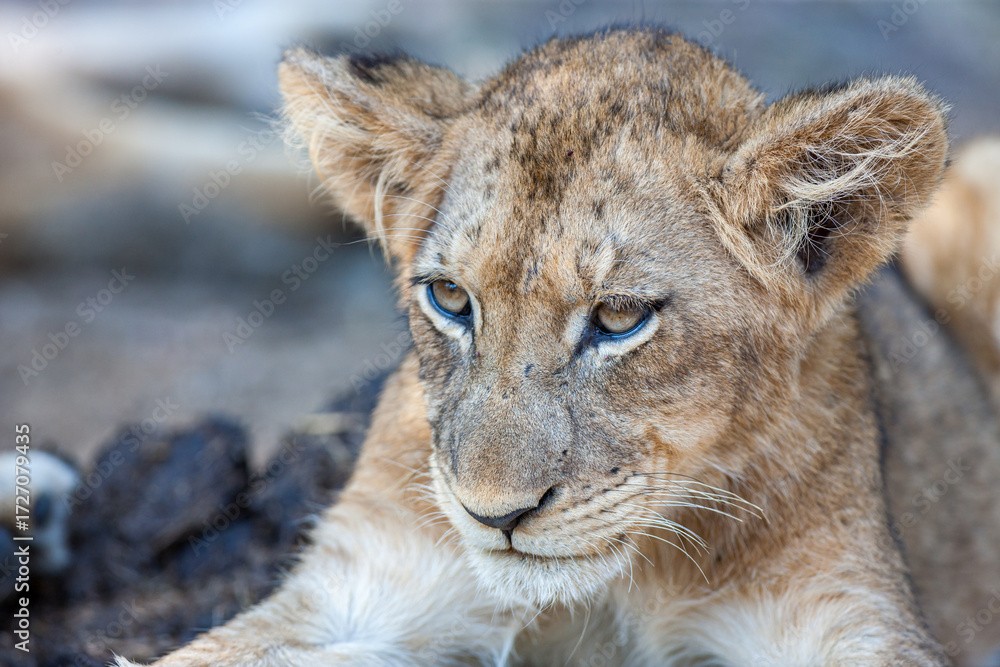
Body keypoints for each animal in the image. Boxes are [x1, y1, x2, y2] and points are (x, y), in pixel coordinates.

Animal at [120, 29, 1000, 666]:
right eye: (451, 299)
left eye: (618, 316)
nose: (494, 513)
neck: (630, 573)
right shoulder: (357, 585)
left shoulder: (846, 615)